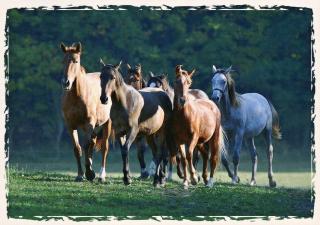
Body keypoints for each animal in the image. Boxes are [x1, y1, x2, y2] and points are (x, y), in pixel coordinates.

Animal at [60, 42, 112, 183]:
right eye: (63, 61)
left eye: (76, 61)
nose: (66, 82)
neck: (77, 96)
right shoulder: (70, 125)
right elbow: (77, 149)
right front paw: (80, 175)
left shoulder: (89, 124)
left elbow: (86, 145)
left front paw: (89, 173)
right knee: (93, 143)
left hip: (106, 123)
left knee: (104, 148)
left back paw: (101, 176)